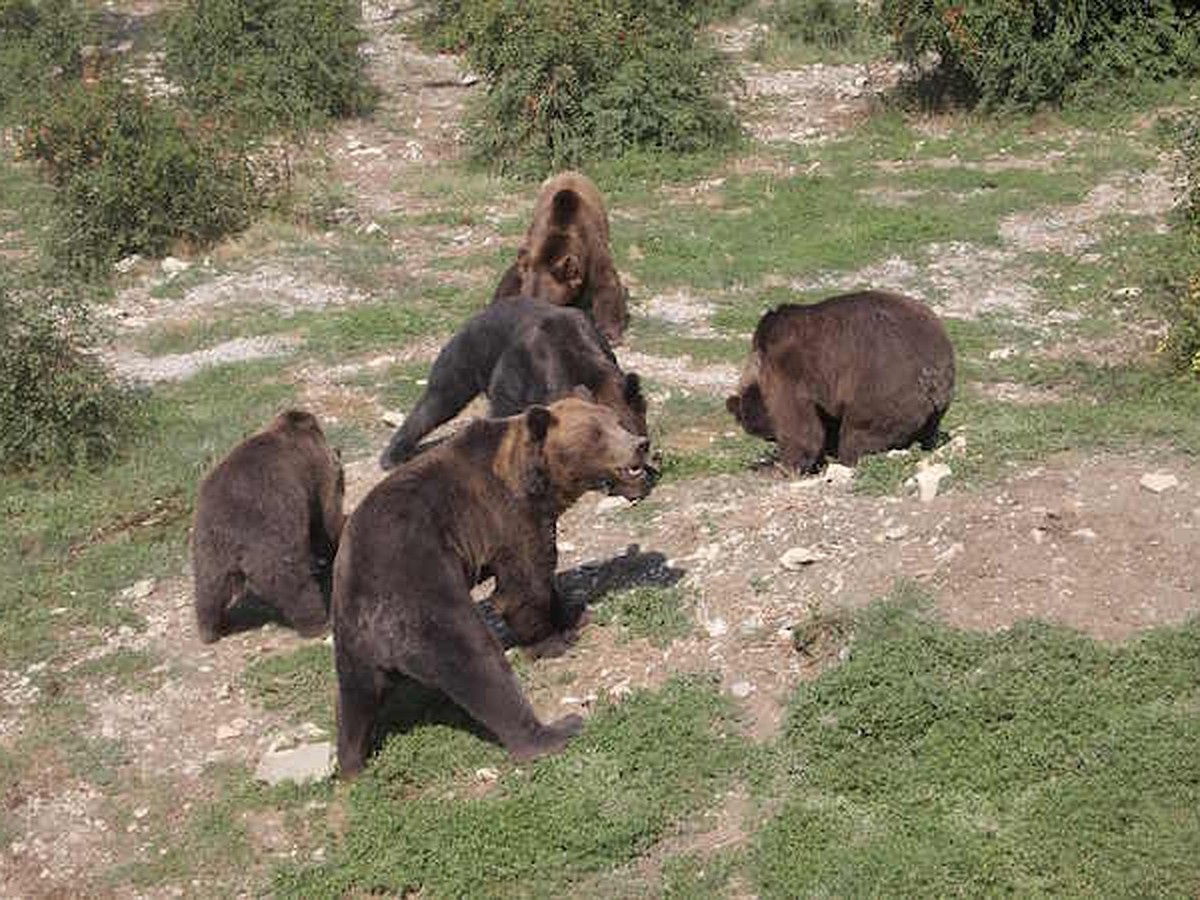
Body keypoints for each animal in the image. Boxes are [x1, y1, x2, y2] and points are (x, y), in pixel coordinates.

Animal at [189, 412, 345, 643]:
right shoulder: (316, 476)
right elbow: (326, 519)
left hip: (209, 546)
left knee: (209, 588)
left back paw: (211, 629)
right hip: (270, 534)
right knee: (292, 582)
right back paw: (318, 623)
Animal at [331, 398, 657, 777]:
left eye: (617, 422)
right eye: (596, 433)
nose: (640, 444)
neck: (535, 480)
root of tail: (377, 630)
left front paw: (574, 614)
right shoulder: (506, 517)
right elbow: (525, 584)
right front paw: (554, 640)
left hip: (351, 639)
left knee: (354, 700)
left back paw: (351, 763)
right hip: (425, 600)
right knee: (480, 666)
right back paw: (555, 731)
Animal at [381, 300, 648, 472]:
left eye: (632, 430)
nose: (637, 460)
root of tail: (480, 313)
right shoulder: (519, 370)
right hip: (469, 353)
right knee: (440, 399)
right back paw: (393, 455)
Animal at [492, 170, 633, 348]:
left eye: (547, 304)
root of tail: (571, 172)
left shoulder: (592, 248)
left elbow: (606, 284)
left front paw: (610, 334)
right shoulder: (531, 252)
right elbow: (510, 280)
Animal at [720, 290, 955, 475]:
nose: (772, 439)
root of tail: (932, 373)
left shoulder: (790, 369)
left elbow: (799, 423)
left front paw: (781, 466)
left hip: (881, 388)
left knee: (858, 432)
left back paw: (846, 459)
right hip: (934, 404)